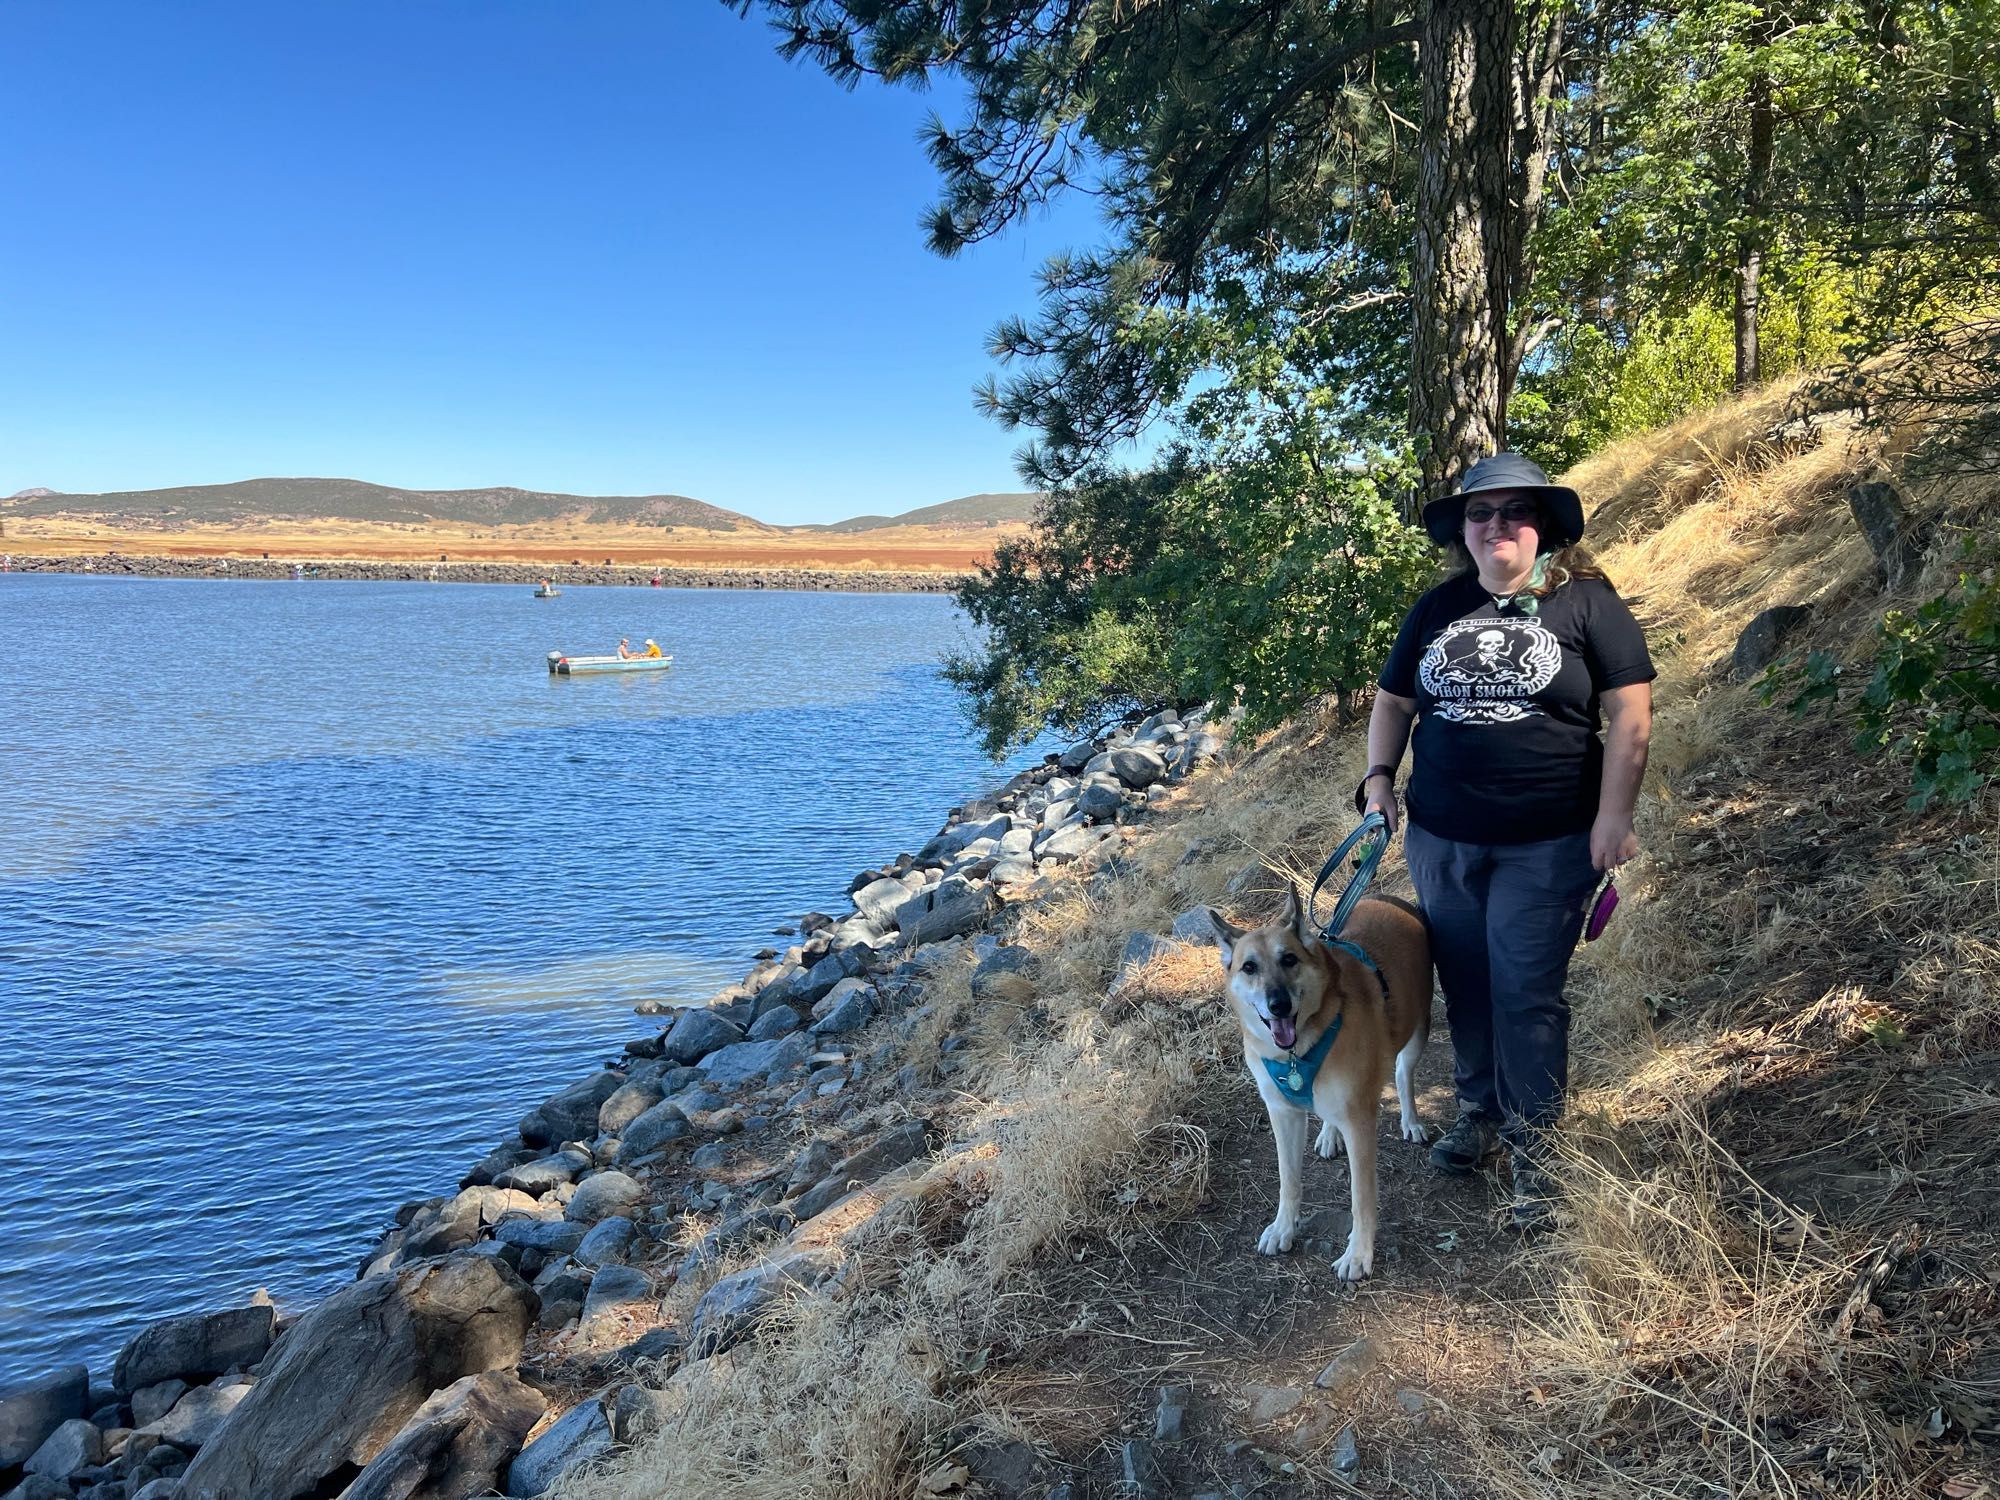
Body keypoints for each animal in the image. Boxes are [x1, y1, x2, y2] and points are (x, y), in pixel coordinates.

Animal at [1208, 888, 1432, 1288]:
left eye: (1289, 959)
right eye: (1249, 967)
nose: (1278, 1005)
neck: (1297, 1053)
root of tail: (1387, 895)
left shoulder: (1360, 1123)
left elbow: (1361, 1198)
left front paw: (1358, 1254)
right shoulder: (1282, 1114)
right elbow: (1289, 1180)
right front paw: (1283, 1227)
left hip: (1419, 1025)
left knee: (1404, 1074)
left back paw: (1411, 1120)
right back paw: (1330, 1133)